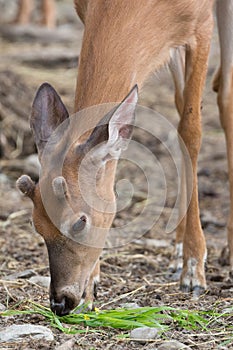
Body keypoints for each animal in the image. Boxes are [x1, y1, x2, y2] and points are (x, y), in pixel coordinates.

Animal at [16, 0, 233, 316]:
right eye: (36, 225)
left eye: (80, 221)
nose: (60, 301)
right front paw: (92, 286)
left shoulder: (201, 23)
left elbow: (191, 131)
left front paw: (194, 272)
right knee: (186, 99)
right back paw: (177, 250)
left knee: (224, 95)